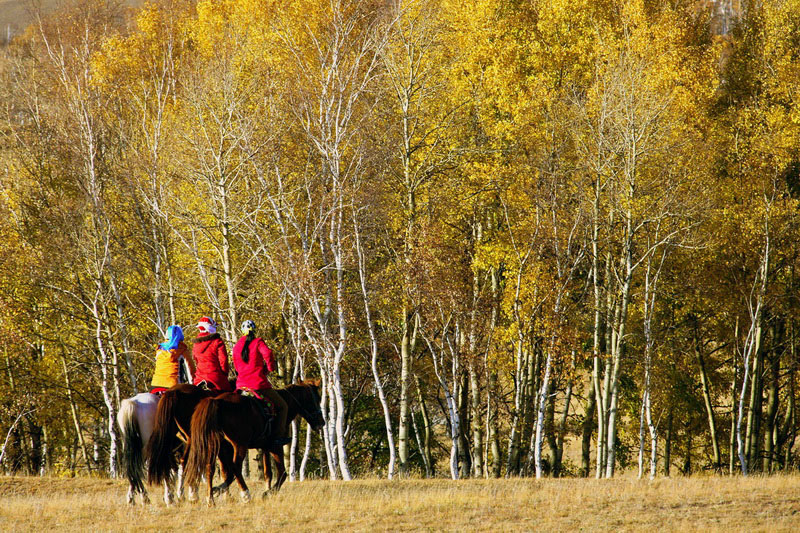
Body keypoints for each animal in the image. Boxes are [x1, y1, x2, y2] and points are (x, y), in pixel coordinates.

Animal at [184, 378, 324, 502]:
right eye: (317, 399)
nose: (321, 423)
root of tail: (217, 401)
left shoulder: (265, 447)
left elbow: (268, 473)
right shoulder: (276, 446)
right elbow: (282, 473)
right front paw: (268, 492)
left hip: (217, 445)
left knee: (211, 468)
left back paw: (211, 498)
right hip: (239, 445)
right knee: (235, 467)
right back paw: (245, 494)